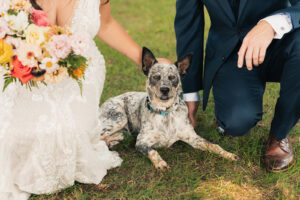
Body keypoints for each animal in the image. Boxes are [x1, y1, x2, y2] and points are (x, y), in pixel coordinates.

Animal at [99, 47, 239, 170]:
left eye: (172, 77)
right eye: (156, 77)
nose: (164, 89)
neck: (165, 112)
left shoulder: (193, 138)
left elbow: (213, 145)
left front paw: (228, 154)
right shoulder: (141, 142)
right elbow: (153, 151)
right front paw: (160, 163)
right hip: (119, 118)